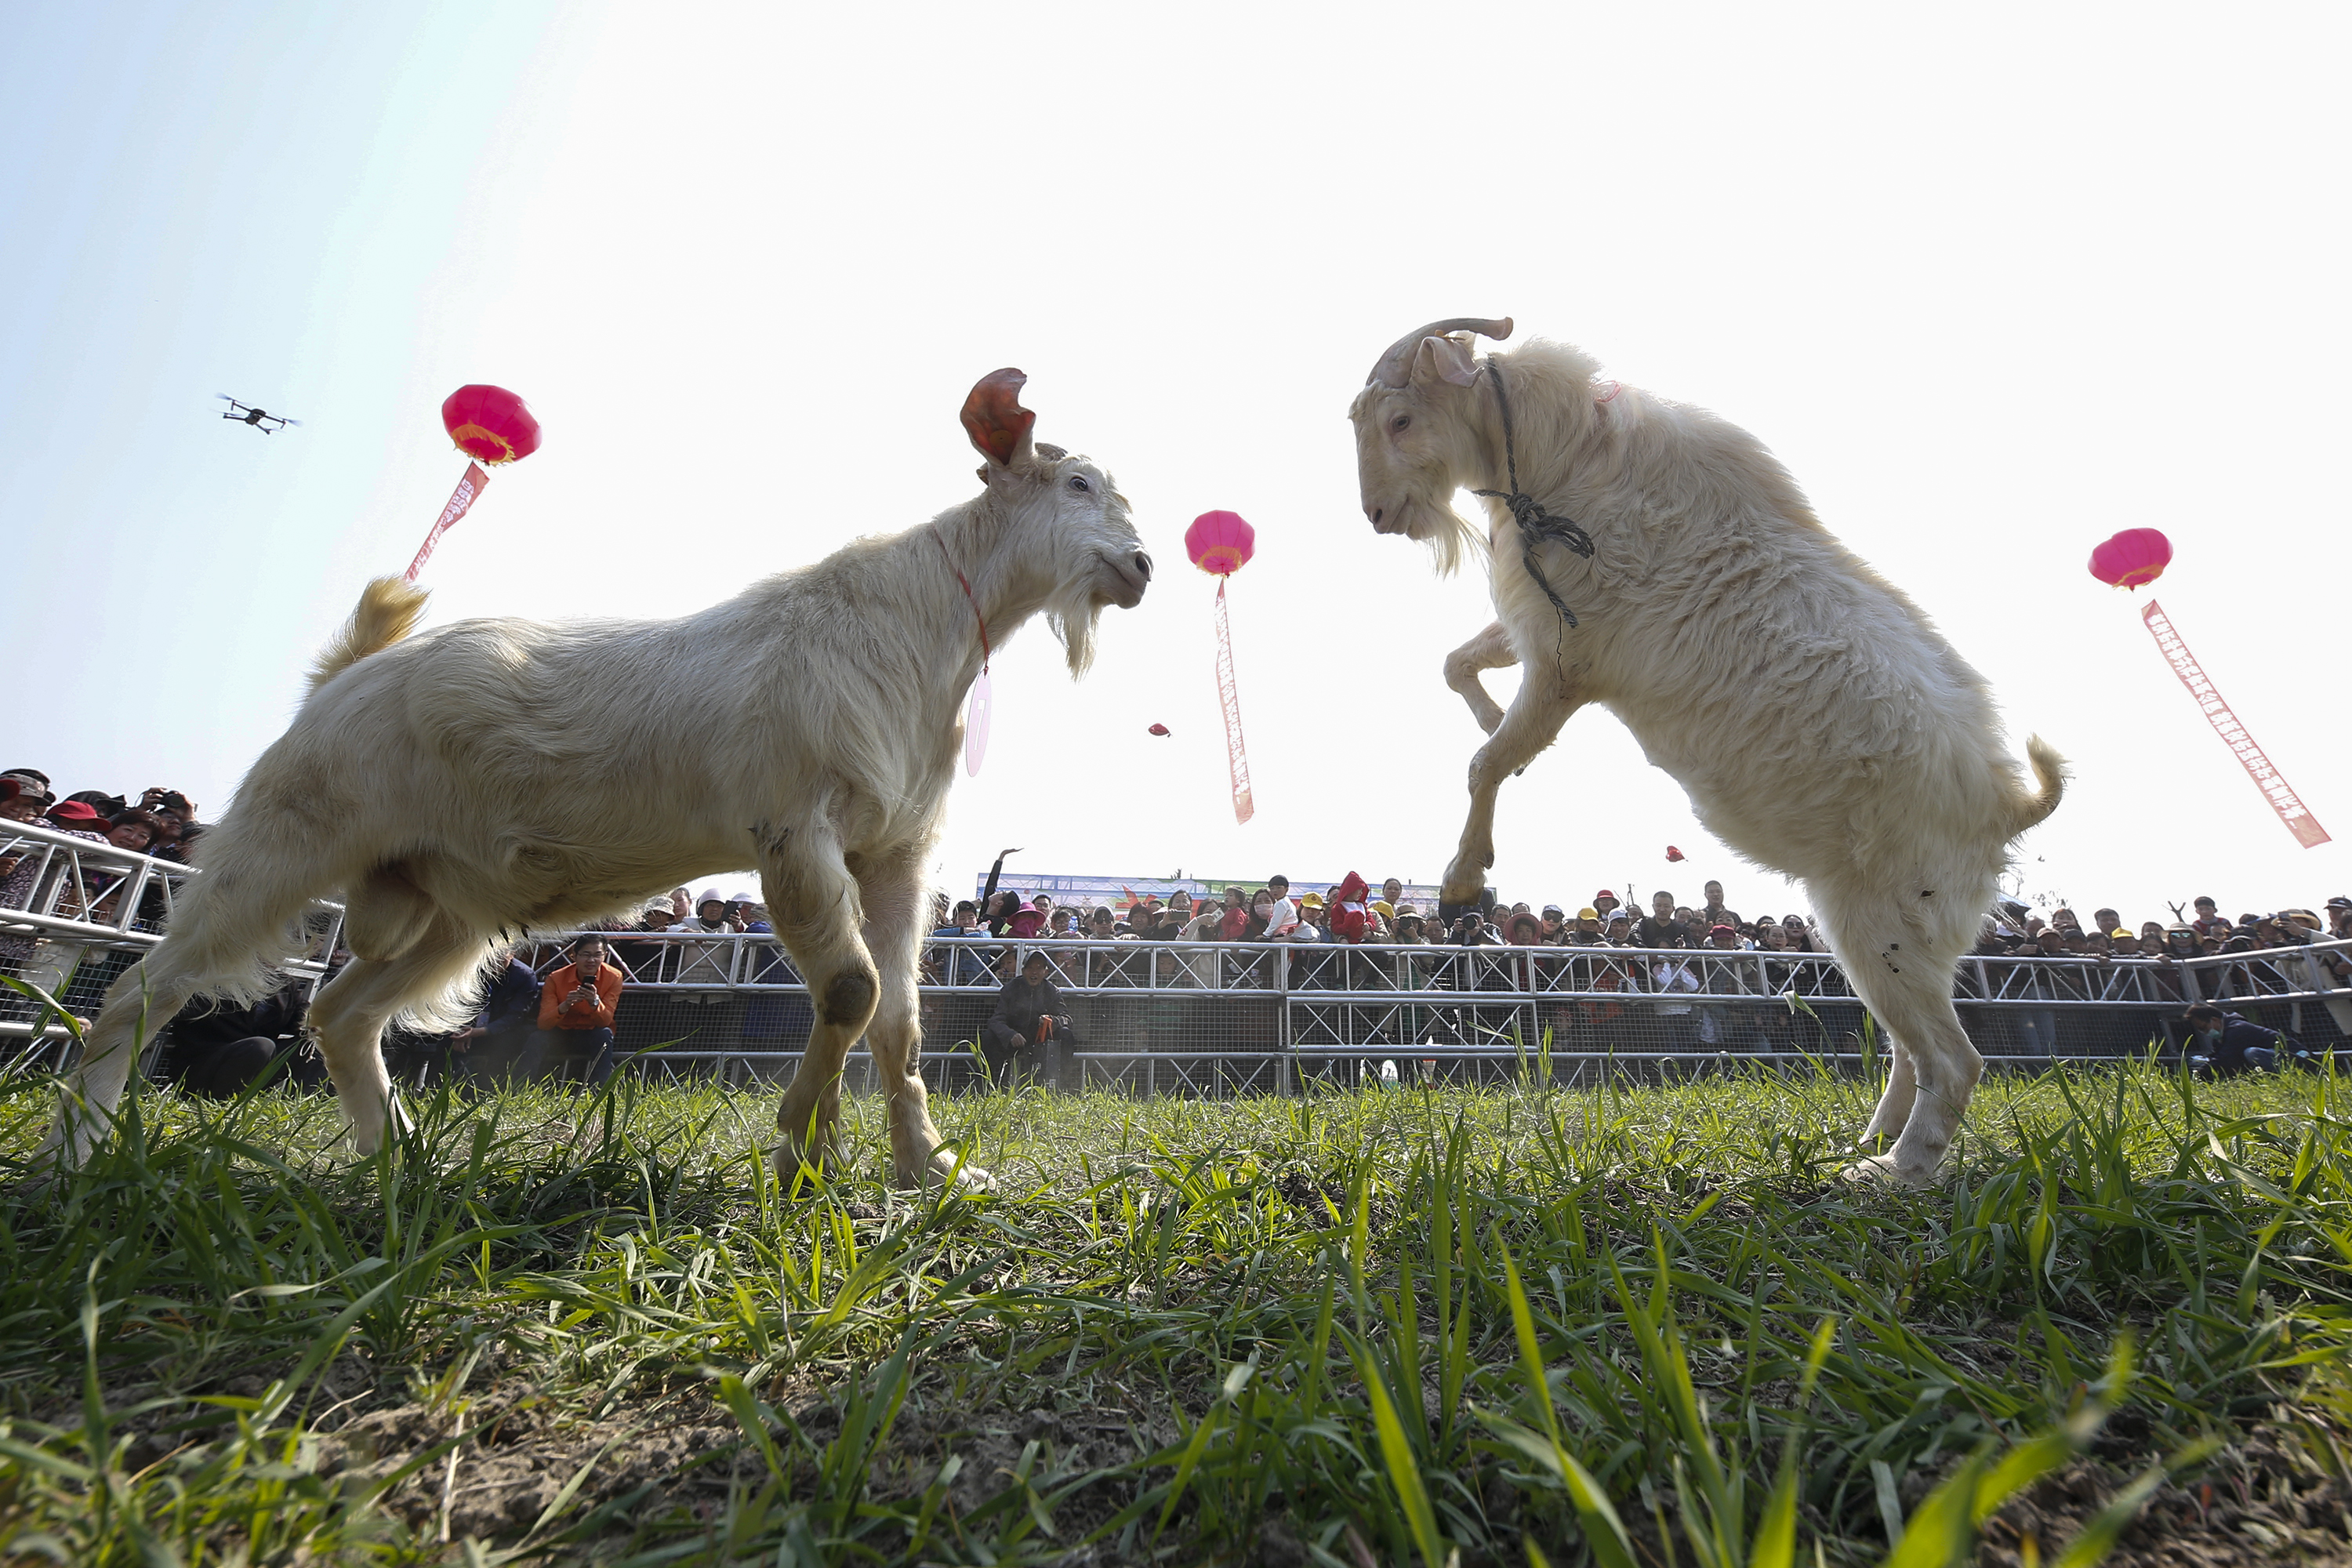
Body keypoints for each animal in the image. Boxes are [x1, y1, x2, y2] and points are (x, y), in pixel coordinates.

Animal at [50, 368, 1152, 1189]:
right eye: (1075, 485)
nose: (1143, 565)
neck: (918, 626)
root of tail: (344, 675)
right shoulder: (793, 828)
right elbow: (849, 987)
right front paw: (799, 1146)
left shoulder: (895, 849)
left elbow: (901, 1020)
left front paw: (925, 1167)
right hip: (286, 835)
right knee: (141, 989)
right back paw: (80, 1153)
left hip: (444, 901)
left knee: (342, 1014)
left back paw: (397, 1155)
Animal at [1355, 319, 2070, 1185]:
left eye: (1400, 419)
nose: (1378, 512)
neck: (1570, 456)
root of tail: (2006, 806)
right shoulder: (1538, 636)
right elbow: (1458, 667)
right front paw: (1489, 722)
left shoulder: (1568, 661)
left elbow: (1484, 762)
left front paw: (1464, 882)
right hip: (1876, 932)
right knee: (1912, 1049)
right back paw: (1866, 1144)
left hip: (1885, 922)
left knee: (1955, 1059)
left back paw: (1893, 1173)